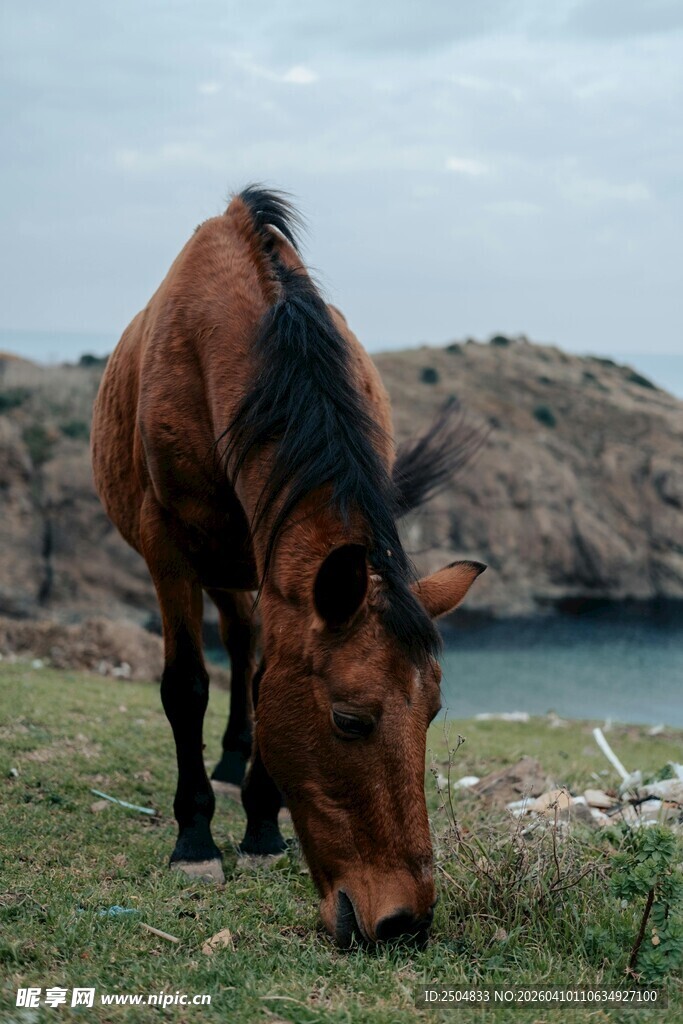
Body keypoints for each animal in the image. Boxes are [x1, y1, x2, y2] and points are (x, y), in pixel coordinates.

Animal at [91, 186, 485, 946]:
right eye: (350, 720)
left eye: (431, 714)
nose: (404, 923)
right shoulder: (168, 550)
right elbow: (186, 686)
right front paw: (196, 844)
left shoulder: (276, 567)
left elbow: (261, 675)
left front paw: (261, 829)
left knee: (245, 648)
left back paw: (235, 758)